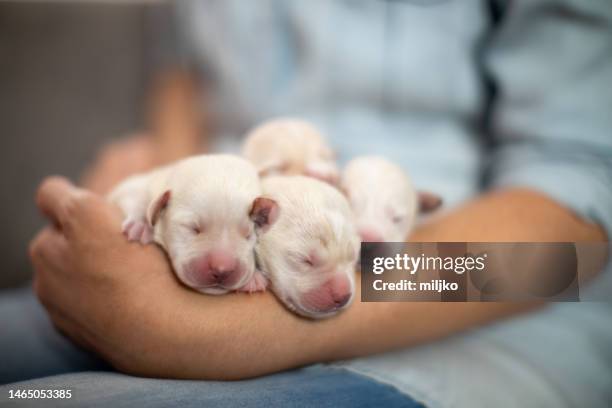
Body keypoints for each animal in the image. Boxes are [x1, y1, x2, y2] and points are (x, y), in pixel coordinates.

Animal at [107, 154, 278, 294]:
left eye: (248, 234)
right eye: (194, 228)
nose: (222, 270)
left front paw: (254, 278)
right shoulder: (136, 184)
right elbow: (137, 194)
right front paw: (141, 224)